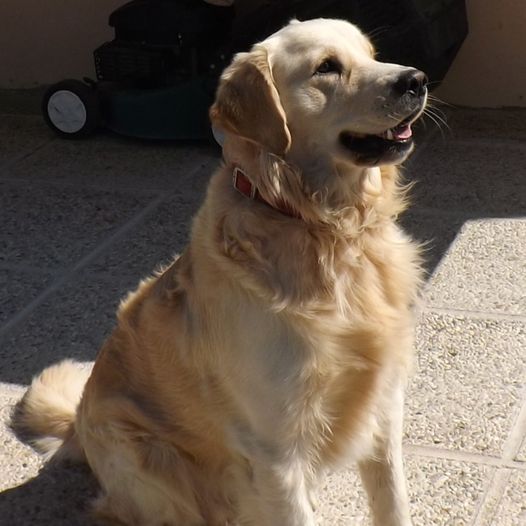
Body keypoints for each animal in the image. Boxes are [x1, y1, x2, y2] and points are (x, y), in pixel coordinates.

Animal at [13, 18, 427, 526]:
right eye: (327, 68)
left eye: (372, 54)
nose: (416, 80)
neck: (320, 227)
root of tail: (77, 424)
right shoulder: (275, 449)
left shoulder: (384, 409)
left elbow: (394, 503)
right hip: (149, 459)